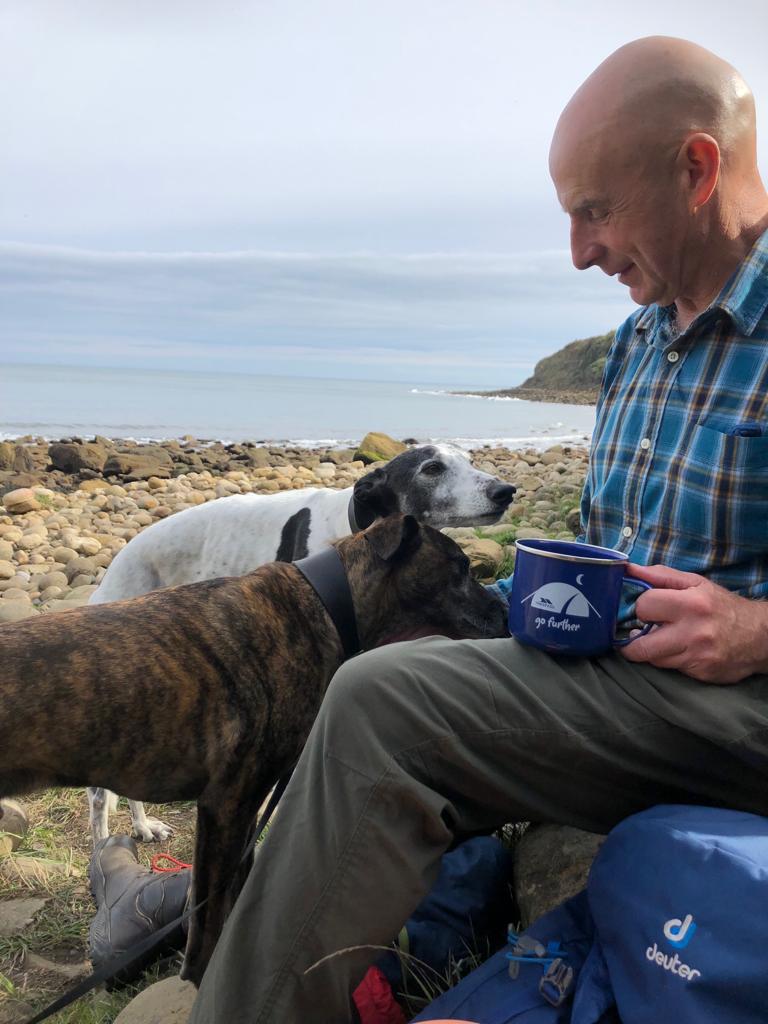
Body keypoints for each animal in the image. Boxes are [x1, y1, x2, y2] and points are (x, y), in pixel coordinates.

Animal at [0, 515, 508, 985]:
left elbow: (238, 894)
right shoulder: (227, 805)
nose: (506, 611)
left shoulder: (244, 812)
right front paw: (204, 979)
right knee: (98, 805)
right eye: (461, 567)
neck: (324, 602)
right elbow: (207, 923)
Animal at [88, 443, 515, 843]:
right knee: (98, 798)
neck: (354, 533)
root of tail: (117, 565)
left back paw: (143, 826)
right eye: (432, 468)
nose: (505, 491)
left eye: (469, 459)